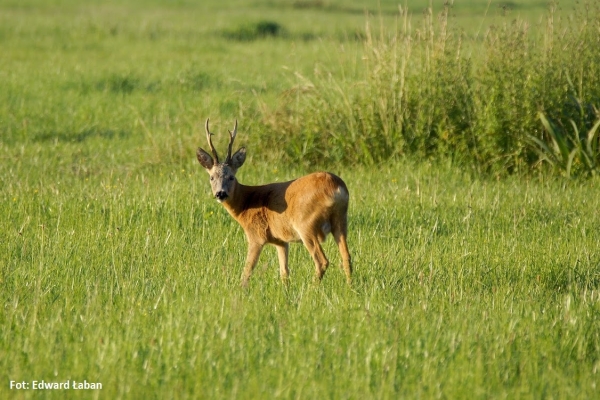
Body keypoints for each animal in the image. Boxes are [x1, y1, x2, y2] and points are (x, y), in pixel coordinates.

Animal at [195, 118, 354, 284]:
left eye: (231, 177)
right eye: (212, 177)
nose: (220, 193)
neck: (246, 204)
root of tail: (336, 187)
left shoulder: (256, 235)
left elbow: (247, 271)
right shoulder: (281, 241)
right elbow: (284, 272)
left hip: (306, 224)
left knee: (322, 261)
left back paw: (312, 287)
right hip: (341, 220)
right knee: (347, 257)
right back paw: (350, 285)